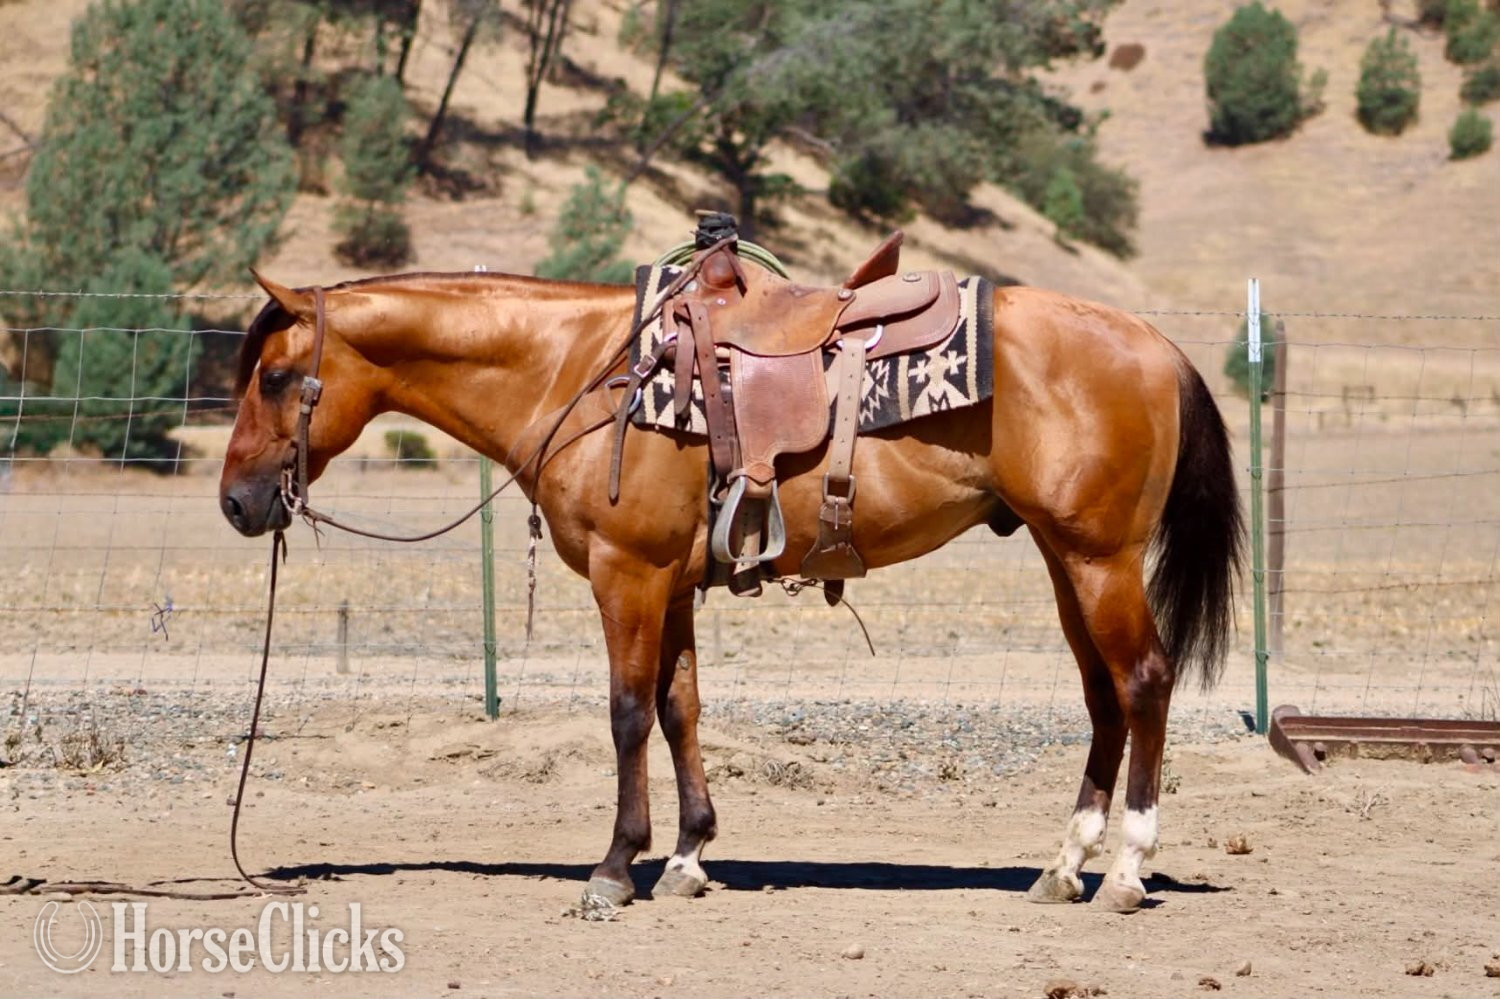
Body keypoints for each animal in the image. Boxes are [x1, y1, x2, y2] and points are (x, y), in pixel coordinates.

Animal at [219, 265, 1242, 913]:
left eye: (276, 376)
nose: (235, 502)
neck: (579, 372)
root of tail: (1154, 342)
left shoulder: (627, 574)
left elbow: (628, 711)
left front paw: (614, 866)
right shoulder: (670, 583)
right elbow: (681, 708)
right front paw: (687, 856)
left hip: (1099, 558)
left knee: (1144, 682)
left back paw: (1126, 871)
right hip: (1065, 560)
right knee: (1103, 698)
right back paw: (1064, 865)